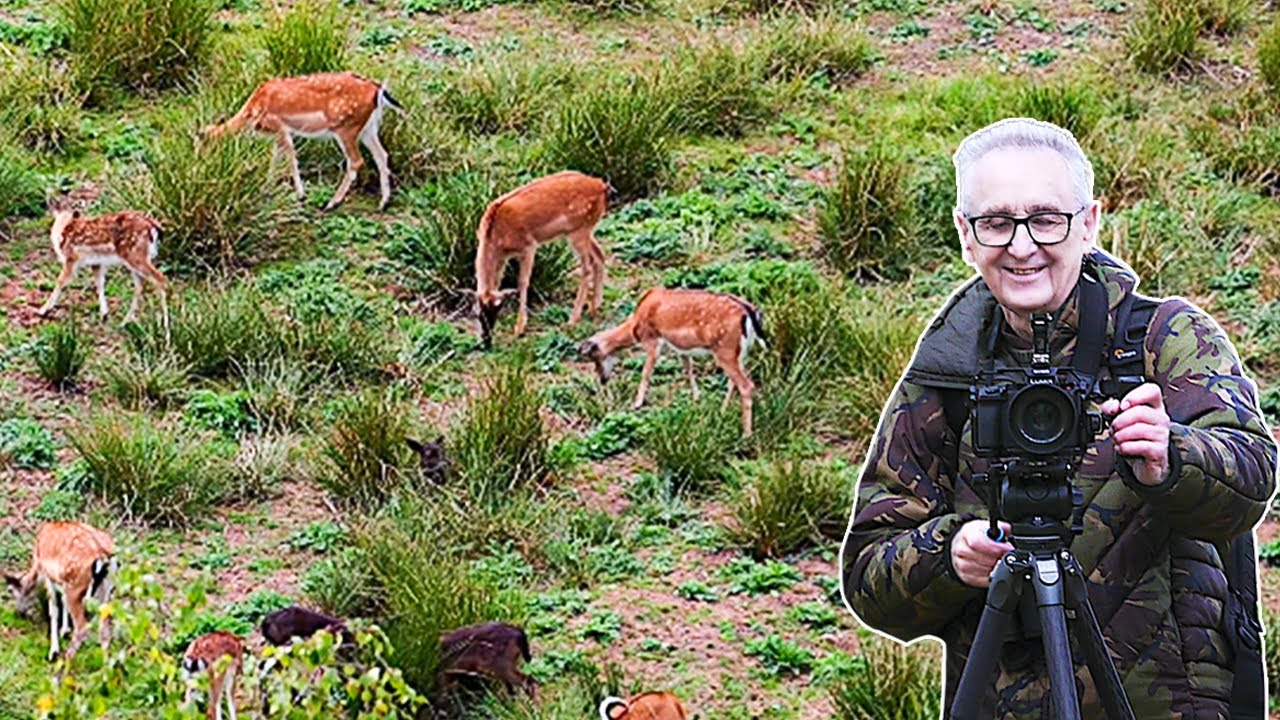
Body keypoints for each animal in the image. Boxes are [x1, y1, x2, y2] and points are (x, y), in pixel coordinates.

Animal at [4, 521, 117, 664]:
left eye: (10, 591)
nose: (18, 613)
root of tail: (103, 555)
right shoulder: (61, 582)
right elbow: (62, 601)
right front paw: (64, 631)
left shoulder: (49, 577)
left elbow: (53, 610)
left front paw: (53, 652)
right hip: (107, 589)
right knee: (106, 628)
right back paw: (106, 665)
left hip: (75, 587)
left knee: (82, 627)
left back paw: (66, 660)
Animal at [37, 204, 170, 335]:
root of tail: (155, 227)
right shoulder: (97, 263)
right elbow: (99, 283)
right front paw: (104, 314)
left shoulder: (71, 258)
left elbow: (60, 281)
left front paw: (43, 310)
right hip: (135, 259)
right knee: (141, 285)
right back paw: (124, 322)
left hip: (135, 255)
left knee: (161, 279)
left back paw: (166, 331)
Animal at [201, 72, 405, 211]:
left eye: (203, 147)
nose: (204, 169)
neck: (252, 112)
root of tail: (378, 90)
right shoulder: (278, 135)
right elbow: (275, 158)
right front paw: (266, 189)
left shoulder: (280, 128)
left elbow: (291, 158)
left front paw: (300, 194)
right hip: (368, 129)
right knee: (381, 154)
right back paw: (383, 202)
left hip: (346, 127)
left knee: (356, 160)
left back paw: (331, 203)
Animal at [474, 170, 610, 348]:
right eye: (479, 315)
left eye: (496, 310)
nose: (487, 341)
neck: (495, 236)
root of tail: (602, 185)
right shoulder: (503, 258)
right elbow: (498, 282)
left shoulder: (529, 246)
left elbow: (523, 282)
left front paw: (520, 328)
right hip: (585, 230)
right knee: (600, 255)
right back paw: (594, 307)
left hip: (579, 231)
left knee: (586, 267)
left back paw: (572, 320)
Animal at [578, 287, 766, 437]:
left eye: (595, 358)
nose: (603, 379)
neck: (635, 326)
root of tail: (750, 313)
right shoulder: (681, 349)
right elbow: (688, 369)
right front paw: (696, 397)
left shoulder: (651, 339)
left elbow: (646, 372)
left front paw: (636, 404)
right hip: (740, 353)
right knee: (733, 382)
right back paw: (722, 411)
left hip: (725, 350)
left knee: (746, 385)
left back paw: (746, 434)